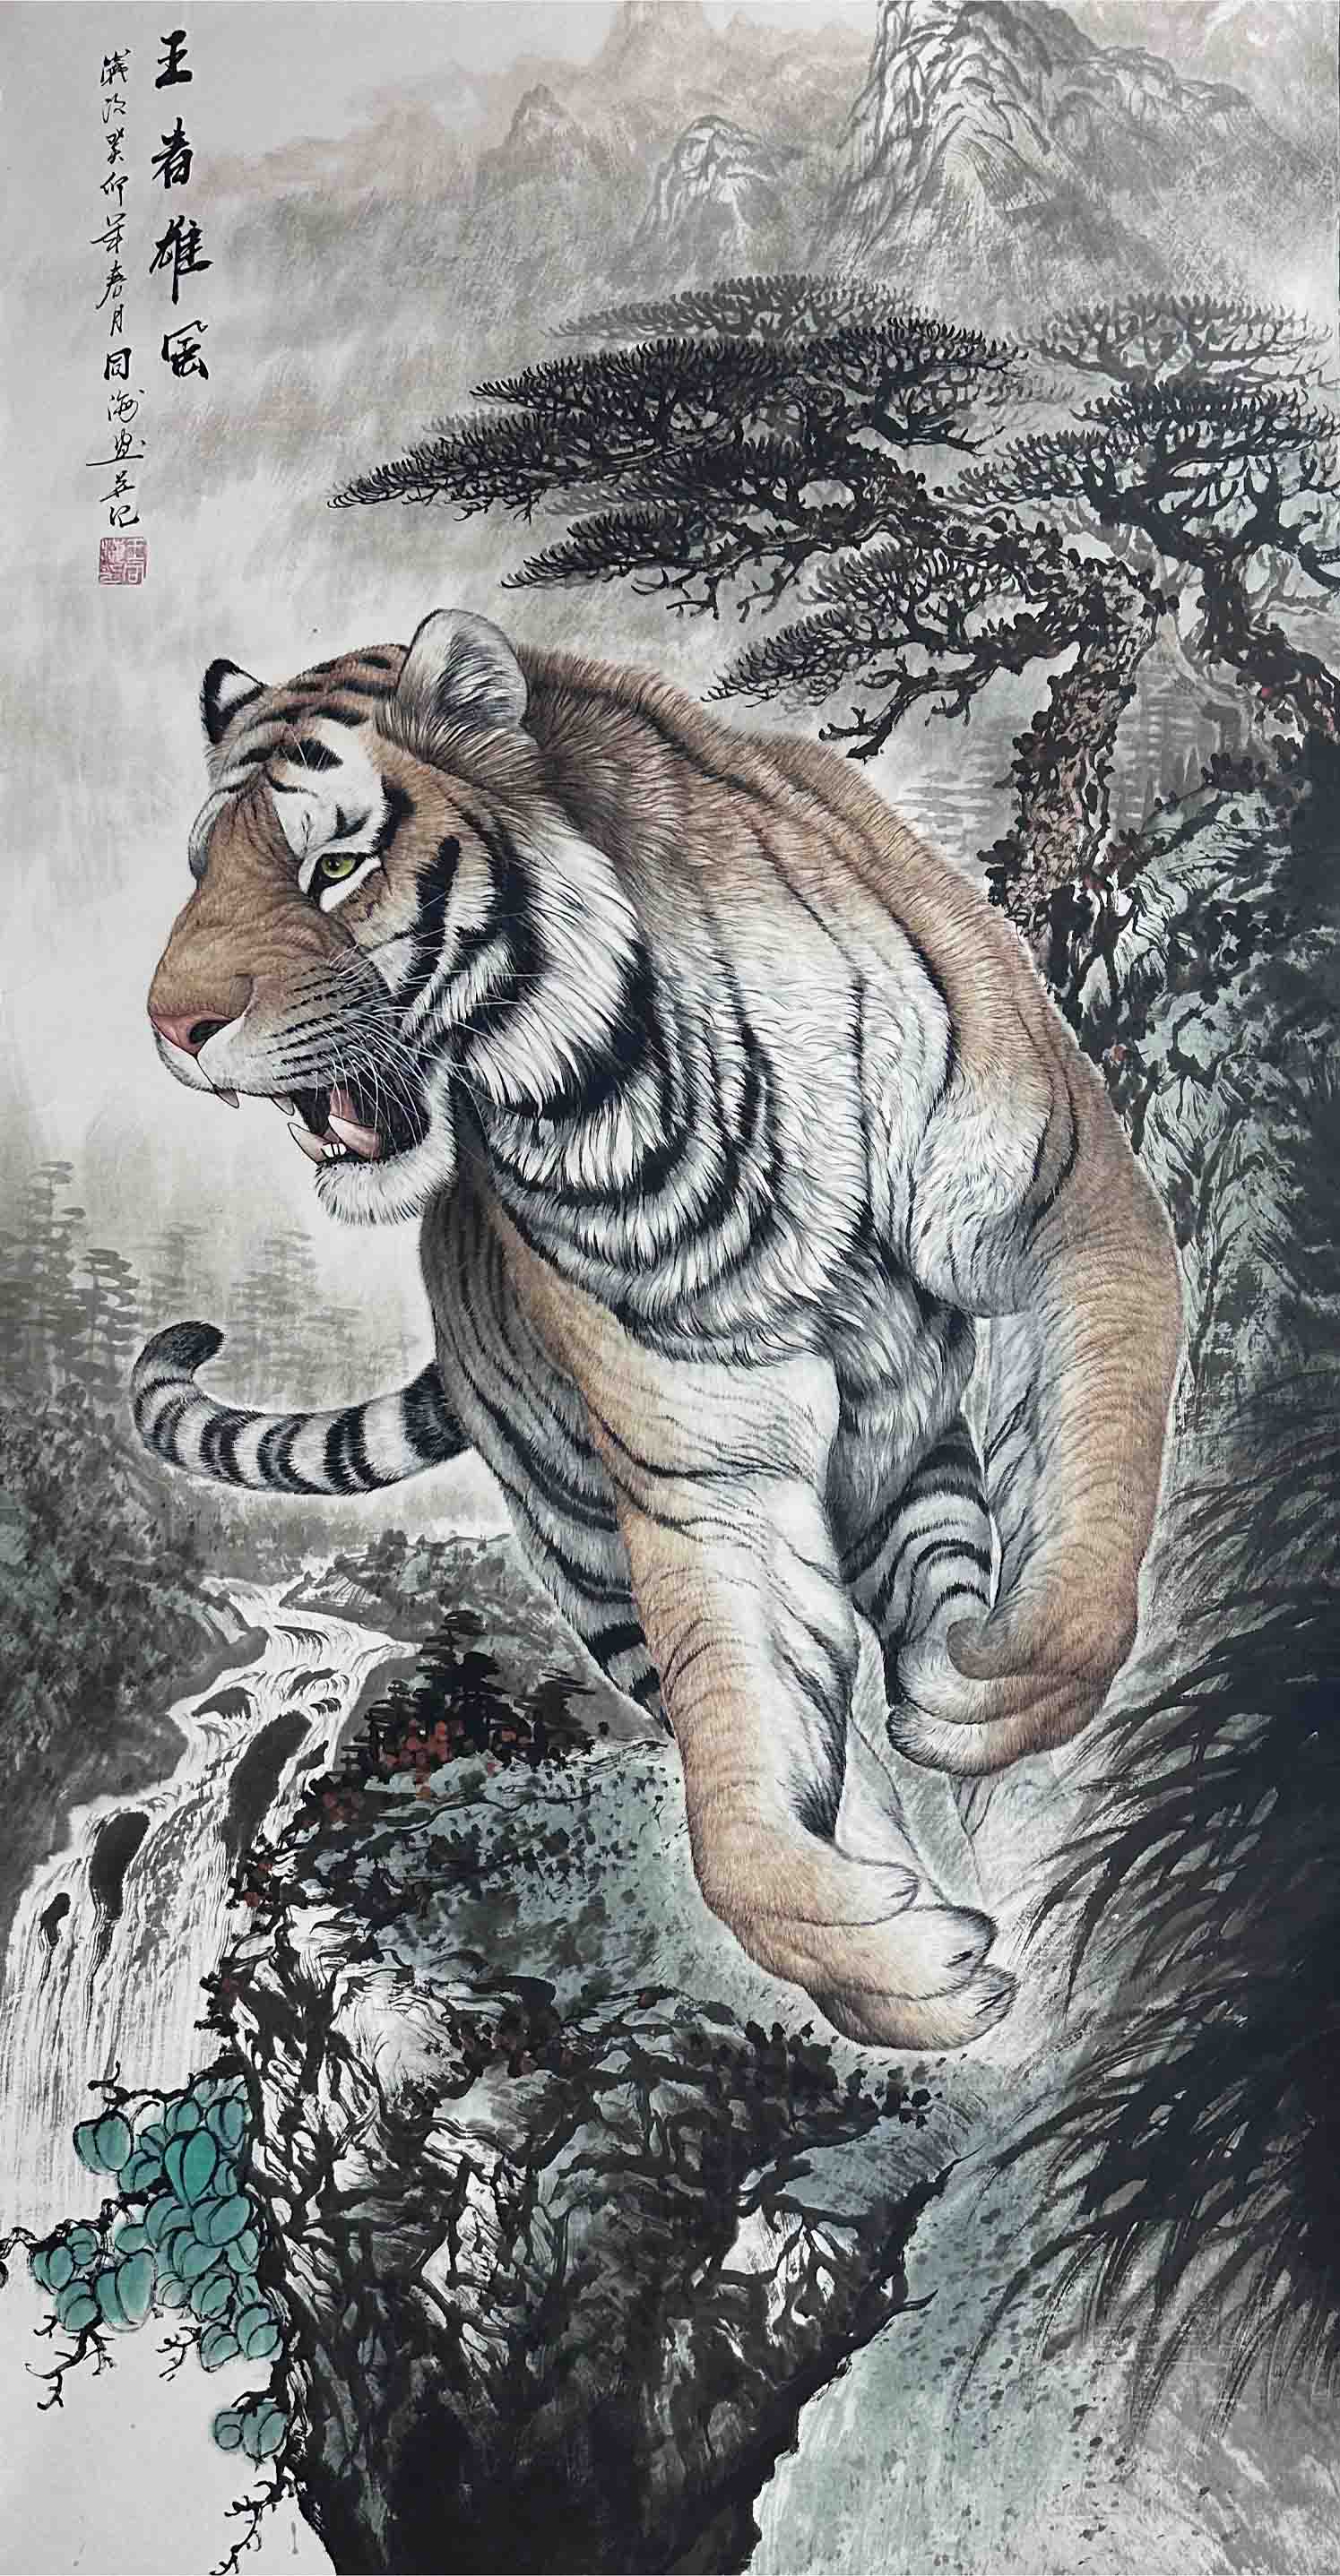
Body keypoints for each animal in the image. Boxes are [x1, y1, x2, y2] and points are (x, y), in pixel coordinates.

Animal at [133, 608, 1183, 2052]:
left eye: (333, 865)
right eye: (197, 873)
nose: (171, 1027)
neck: (610, 1091)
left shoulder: (1069, 1217)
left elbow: (1094, 1483)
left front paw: (994, 1688)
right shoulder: (707, 1469)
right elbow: (741, 1772)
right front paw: (892, 1967)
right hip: (593, 1546)